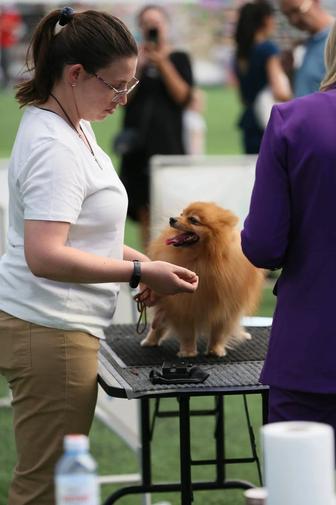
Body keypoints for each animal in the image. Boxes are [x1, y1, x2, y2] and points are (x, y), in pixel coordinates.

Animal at [140, 201, 264, 358]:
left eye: (193, 220)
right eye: (181, 214)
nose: (172, 219)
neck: (203, 259)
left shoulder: (227, 307)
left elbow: (219, 332)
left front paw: (215, 350)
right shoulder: (184, 305)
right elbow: (187, 333)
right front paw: (188, 352)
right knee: (158, 326)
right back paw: (150, 341)